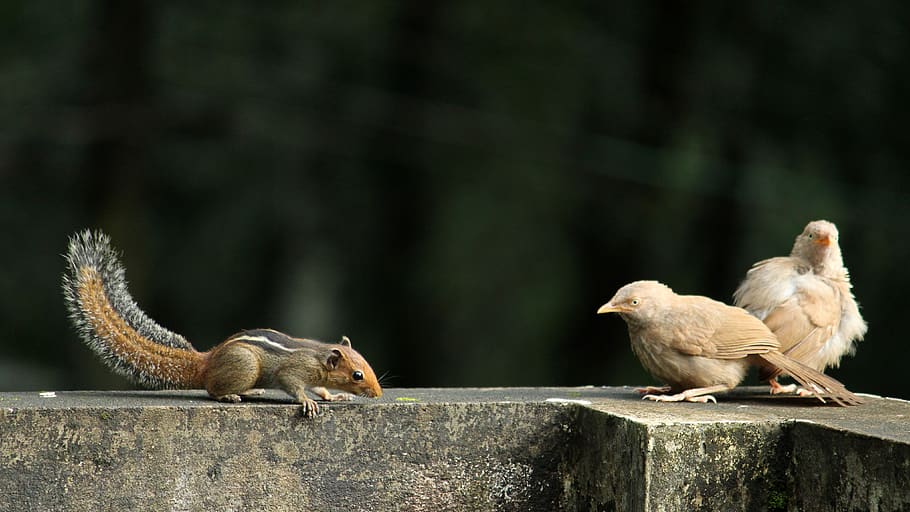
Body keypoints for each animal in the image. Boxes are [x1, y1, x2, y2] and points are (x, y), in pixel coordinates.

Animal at [62, 230, 382, 418]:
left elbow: (323, 389)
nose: (377, 393)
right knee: (212, 390)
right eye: (357, 375)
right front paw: (307, 401)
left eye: (367, 365)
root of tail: (206, 362)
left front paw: (334, 396)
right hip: (245, 366)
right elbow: (294, 384)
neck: (318, 355)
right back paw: (232, 394)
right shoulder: (295, 370)